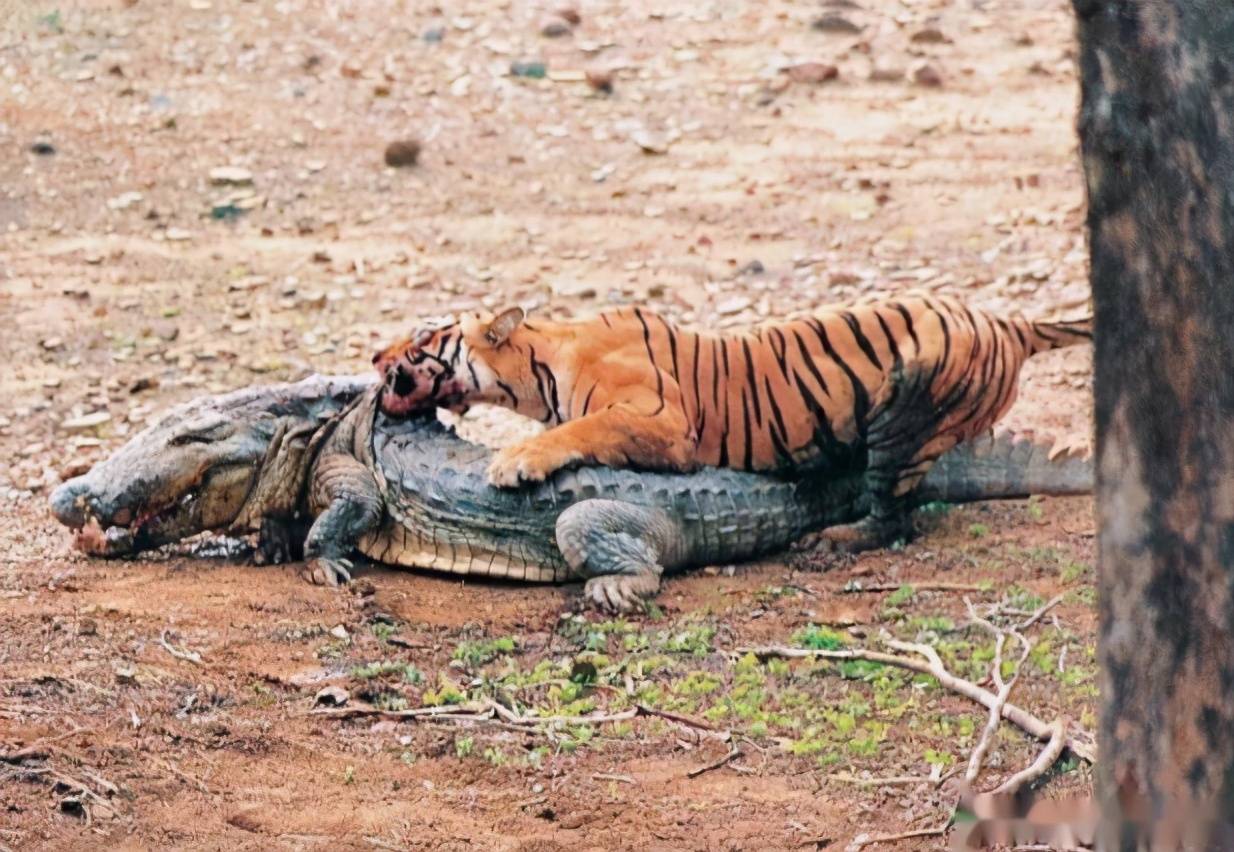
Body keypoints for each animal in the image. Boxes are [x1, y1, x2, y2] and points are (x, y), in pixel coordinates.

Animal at [371, 296, 1091, 551]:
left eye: (424, 337)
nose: (375, 358)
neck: (540, 363)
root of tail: (1010, 322)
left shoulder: (663, 422)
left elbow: (577, 431)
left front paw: (514, 460)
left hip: (907, 408)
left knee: (894, 515)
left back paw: (832, 542)